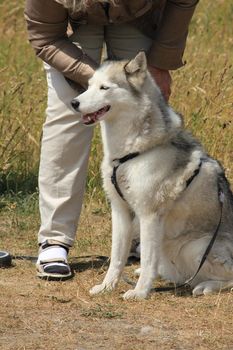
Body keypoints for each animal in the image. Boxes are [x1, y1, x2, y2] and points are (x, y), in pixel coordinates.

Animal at [71, 52, 233, 300]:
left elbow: (148, 259)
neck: (126, 155)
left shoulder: (149, 215)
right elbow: (116, 258)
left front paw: (139, 292)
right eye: (88, 86)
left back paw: (205, 286)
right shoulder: (120, 212)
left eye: (104, 87)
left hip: (196, 248)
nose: (74, 103)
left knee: (226, 278)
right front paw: (107, 286)